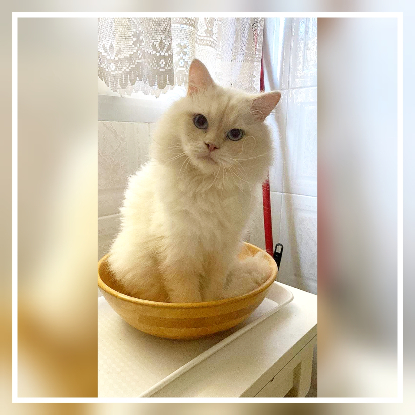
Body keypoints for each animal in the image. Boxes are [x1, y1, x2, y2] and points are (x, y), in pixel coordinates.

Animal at [108, 59, 281, 303]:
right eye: (200, 121)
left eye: (235, 135)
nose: (211, 146)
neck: (206, 186)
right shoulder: (179, 255)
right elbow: (186, 299)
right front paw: (192, 307)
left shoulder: (220, 254)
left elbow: (211, 295)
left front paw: (213, 306)